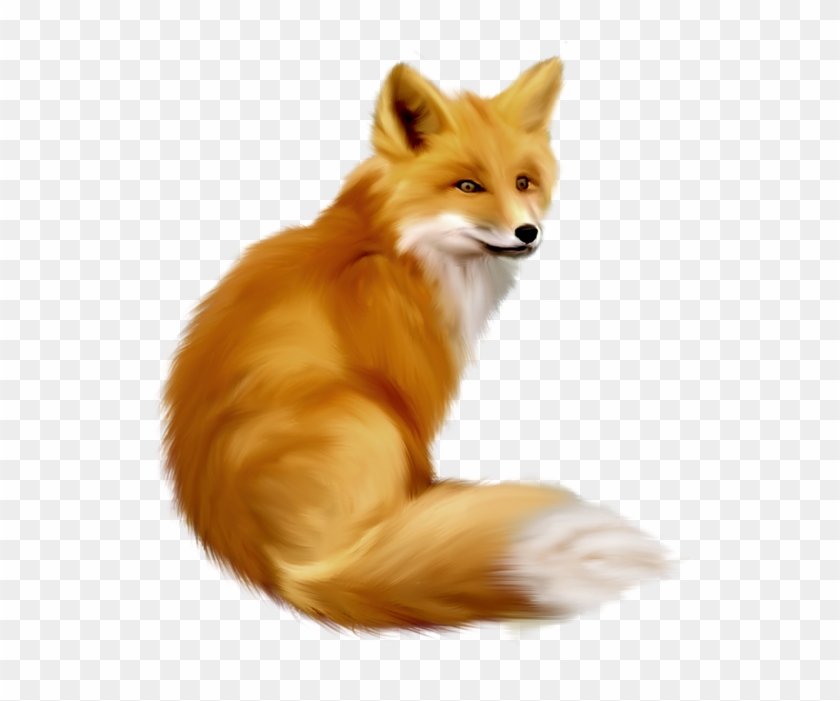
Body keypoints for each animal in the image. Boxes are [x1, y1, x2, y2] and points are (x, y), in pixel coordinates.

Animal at [162, 58, 668, 633]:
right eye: (468, 185)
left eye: (524, 182)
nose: (528, 232)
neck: (393, 246)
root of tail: (283, 573)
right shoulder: (411, 386)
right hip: (368, 418)